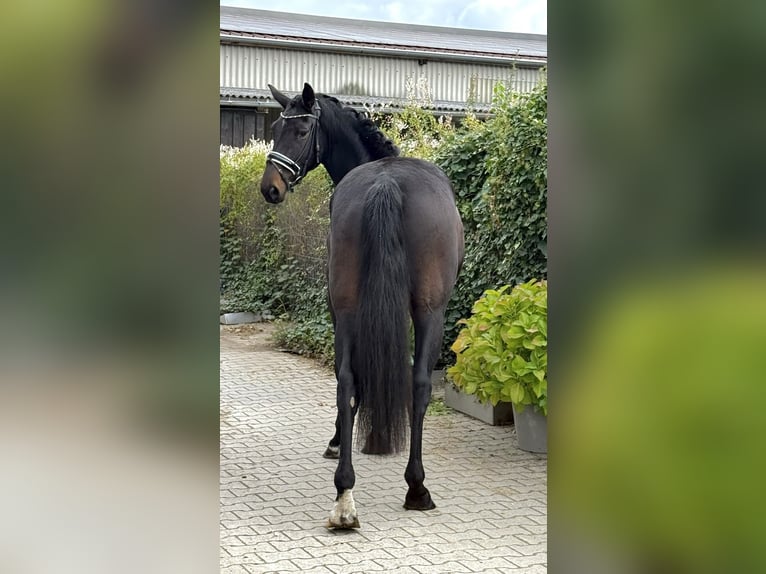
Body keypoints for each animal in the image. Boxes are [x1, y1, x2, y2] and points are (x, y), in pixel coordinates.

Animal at [260, 83, 464, 529]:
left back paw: (347, 495)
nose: (270, 188)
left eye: (301, 131)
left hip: (352, 308)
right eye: (275, 129)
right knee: (414, 383)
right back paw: (411, 487)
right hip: (426, 311)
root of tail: (386, 184)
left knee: (350, 382)